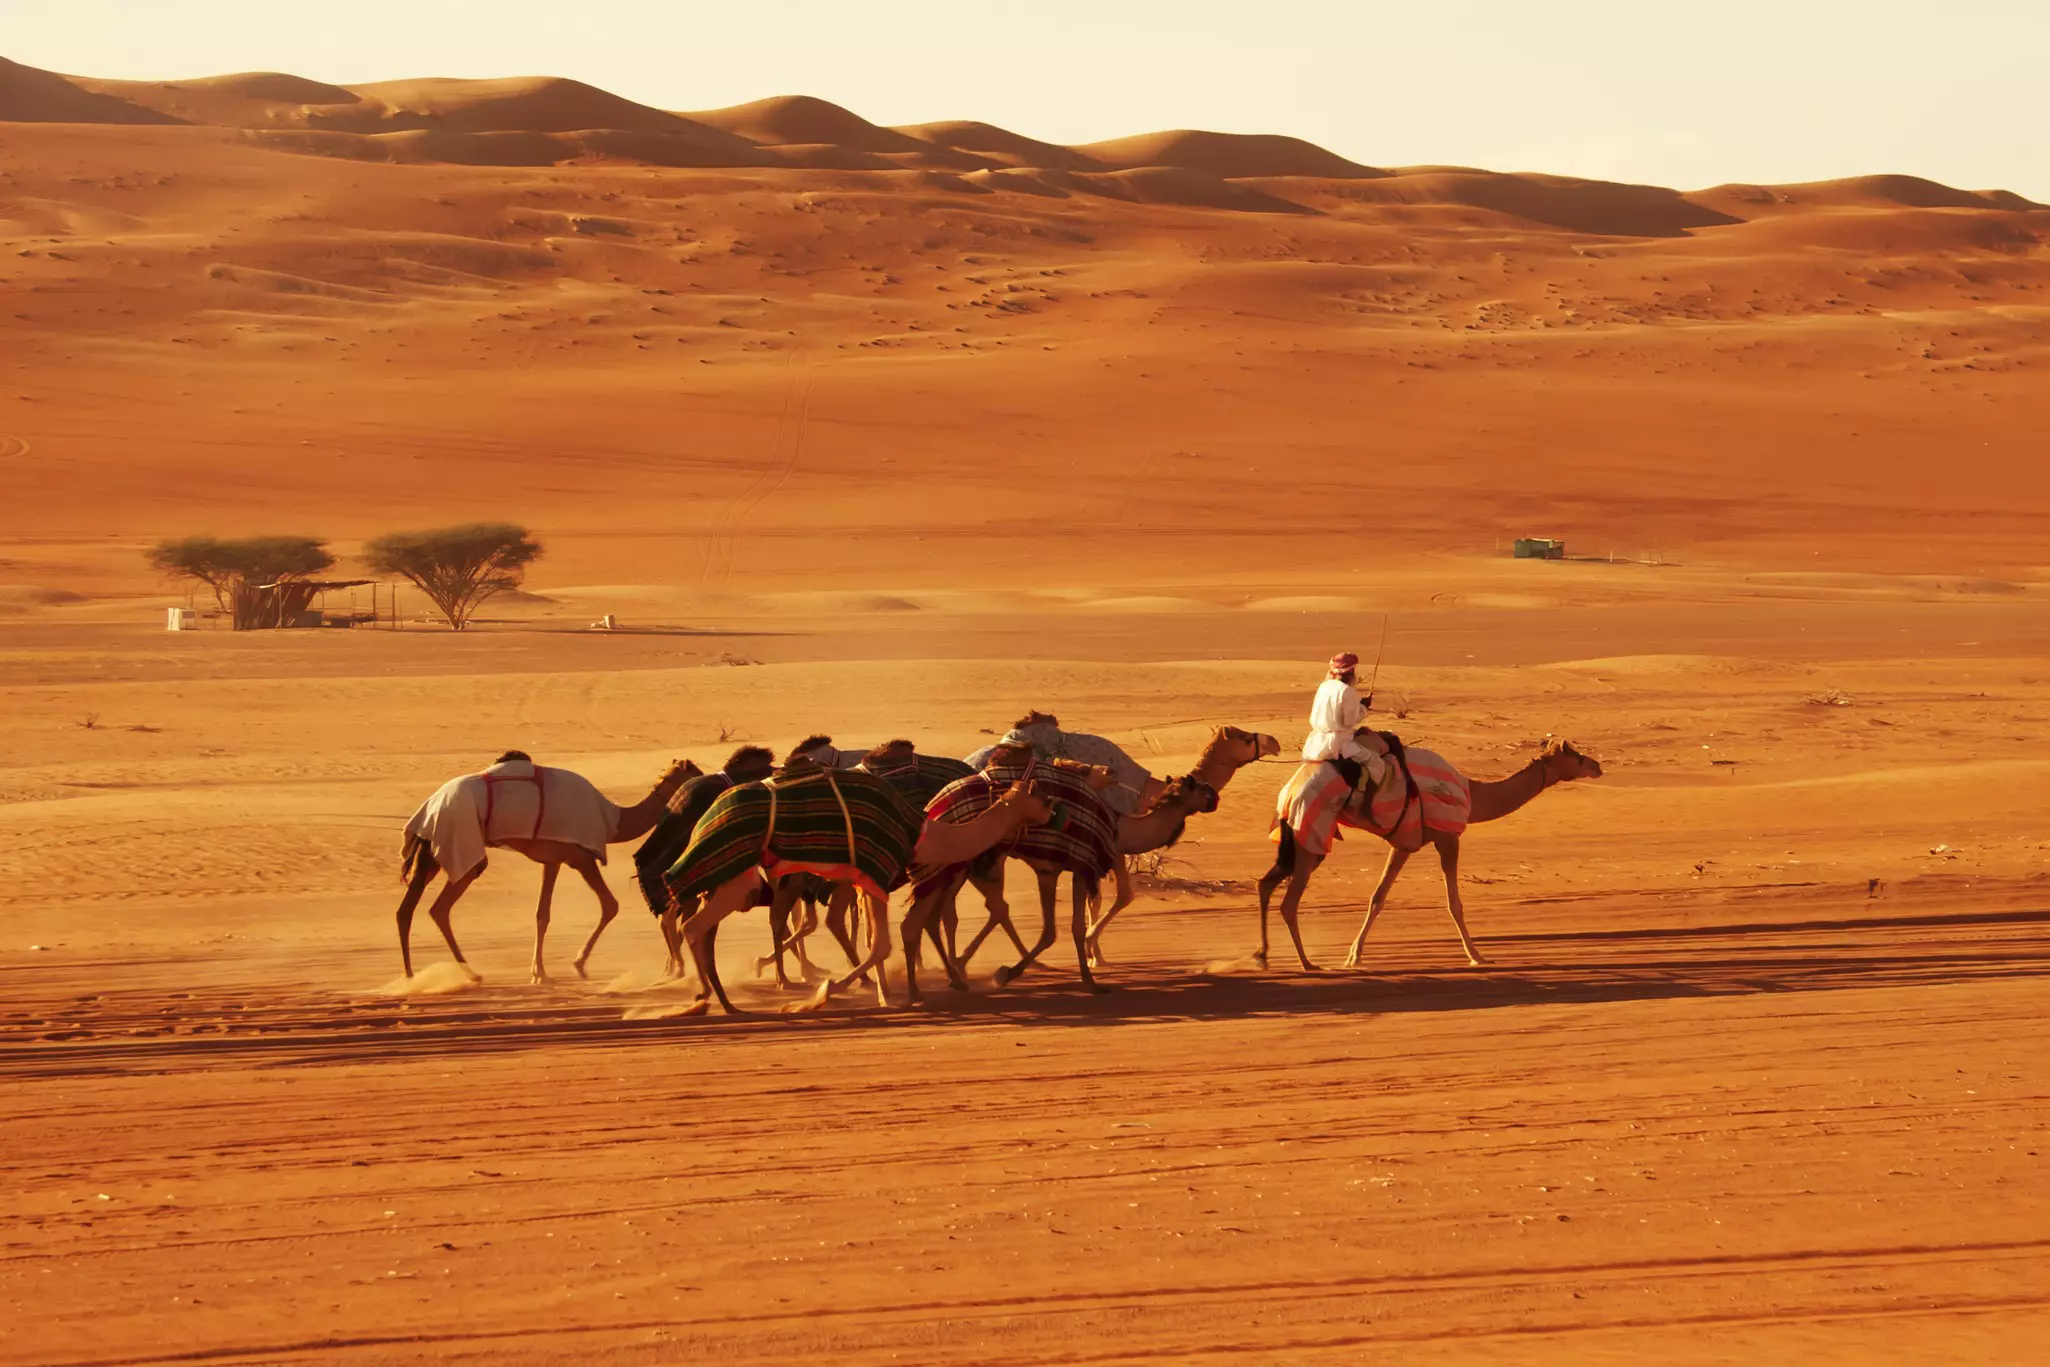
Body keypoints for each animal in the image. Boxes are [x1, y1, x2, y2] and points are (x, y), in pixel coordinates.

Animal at [395, 752, 700, 982]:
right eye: (693, 770)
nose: (708, 775)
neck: (614, 820)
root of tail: (430, 805)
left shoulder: (553, 859)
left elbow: (542, 914)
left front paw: (539, 972)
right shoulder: (580, 856)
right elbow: (610, 905)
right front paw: (578, 965)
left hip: (431, 850)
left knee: (412, 909)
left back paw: (423, 974)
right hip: (458, 842)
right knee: (437, 907)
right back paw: (452, 974)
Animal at [661, 765, 1053, 1015]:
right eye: (1039, 798)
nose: (1052, 812)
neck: (920, 833)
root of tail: (704, 819)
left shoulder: (863, 882)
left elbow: (872, 942)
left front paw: (882, 994)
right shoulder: (875, 875)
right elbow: (880, 945)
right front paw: (827, 991)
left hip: (730, 876)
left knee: (703, 929)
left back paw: (719, 998)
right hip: (736, 878)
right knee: (694, 927)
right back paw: (710, 1000)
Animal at [1255, 737, 1603, 971]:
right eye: (1576, 756)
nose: (1597, 765)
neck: (1473, 794)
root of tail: (1288, 793)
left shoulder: (1403, 844)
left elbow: (1377, 897)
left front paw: (1354, 955)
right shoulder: (1448, 837)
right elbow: (1454, 903)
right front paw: (1477, 956)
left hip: (1294, 841)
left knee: (1265, 885)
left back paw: (1263, 956)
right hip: (1310, 835)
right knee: (1289, 902)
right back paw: (1306, 963)